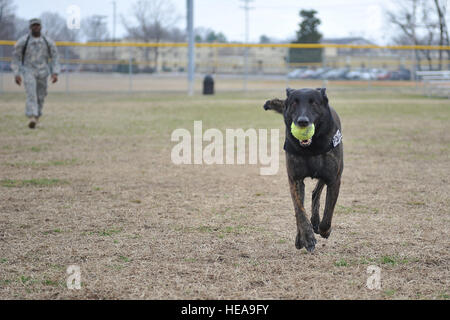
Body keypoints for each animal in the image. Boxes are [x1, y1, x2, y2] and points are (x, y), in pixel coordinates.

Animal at [262, 87, 342, 252]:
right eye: (294, 103)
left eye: (314, 103)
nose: (302, 121)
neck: (311, 147)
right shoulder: (295, 180)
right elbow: (299, 210)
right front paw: (307, 237)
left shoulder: (334, 180)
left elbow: (328, 212)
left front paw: (324, 230)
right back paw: (302, 237)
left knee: (316, 193)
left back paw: (316, 222)